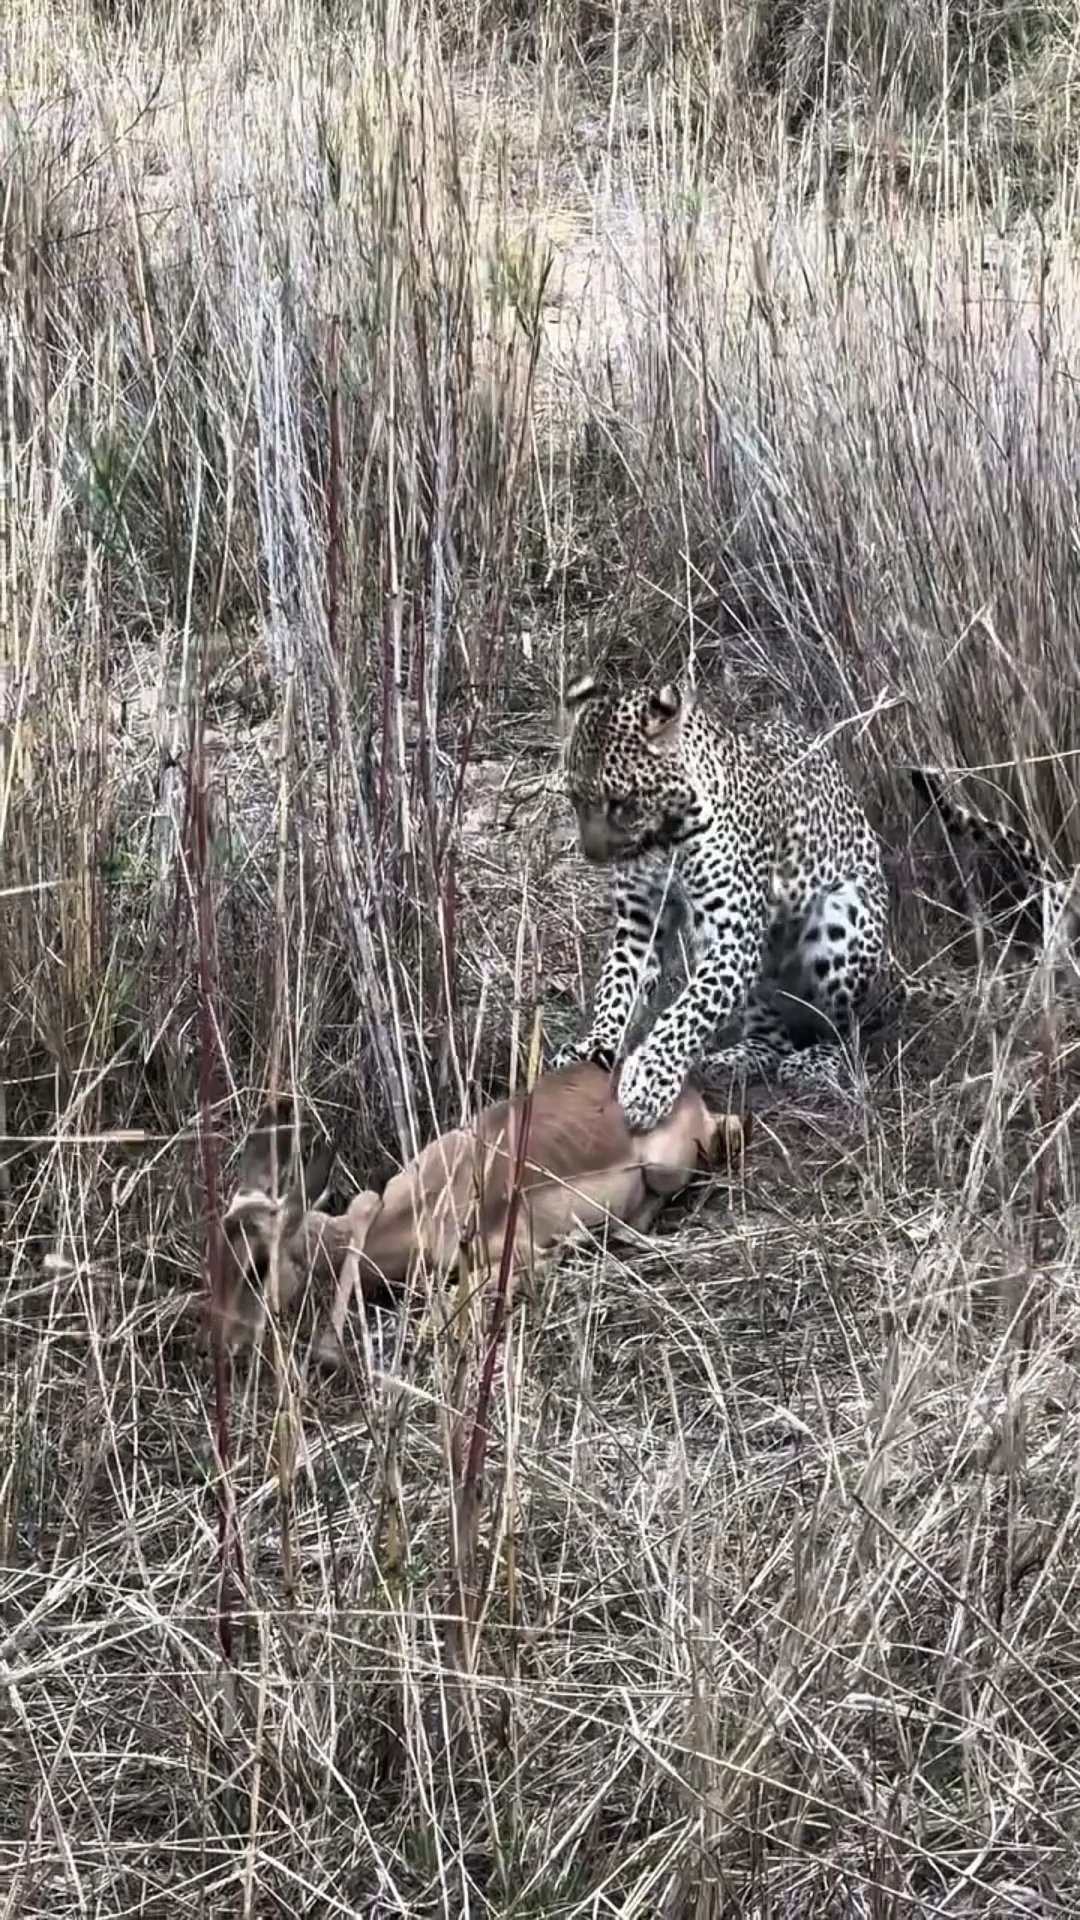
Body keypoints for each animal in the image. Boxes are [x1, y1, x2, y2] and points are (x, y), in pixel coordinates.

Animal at [210, 1067, 749, 1367]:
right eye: (216, 1255)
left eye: (258, 1266)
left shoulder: (512, 1258)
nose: (218, 1343)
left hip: (666, 1167)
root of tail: (688, 1094)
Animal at [549, 675, 887, 1128]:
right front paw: (594, 1046)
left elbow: (689, 1012)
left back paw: (816, 1061)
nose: (593, 855)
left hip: (843, 918)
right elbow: (617, 984)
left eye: (620, 803)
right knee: (771, 1037)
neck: (665, 836)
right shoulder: (638, 923)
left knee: (845, 1029)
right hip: (765, 969)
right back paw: (736, 1059)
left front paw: (649, 1082)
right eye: (574, 799)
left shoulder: (732, 935)